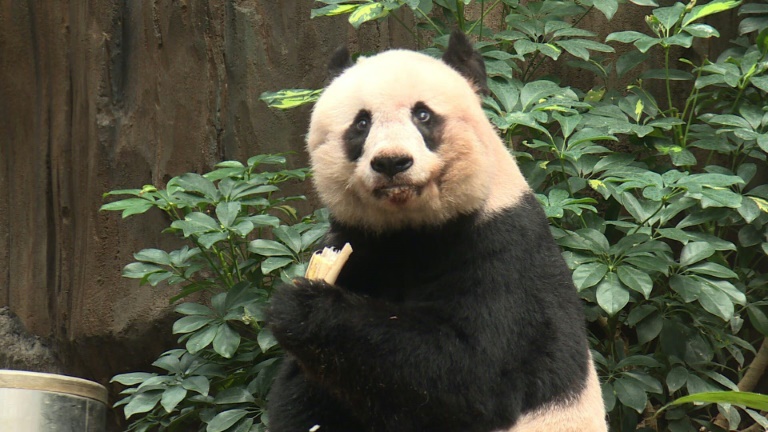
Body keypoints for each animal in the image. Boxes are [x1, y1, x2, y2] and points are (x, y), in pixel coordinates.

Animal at [268, 31, 608, 432]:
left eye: (423, 114)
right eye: (361, 123)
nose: (392, 162)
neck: (412, 228)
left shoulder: (506, 250)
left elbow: (470, 374)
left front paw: (303, 308)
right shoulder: (360, 245)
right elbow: (305, 396)